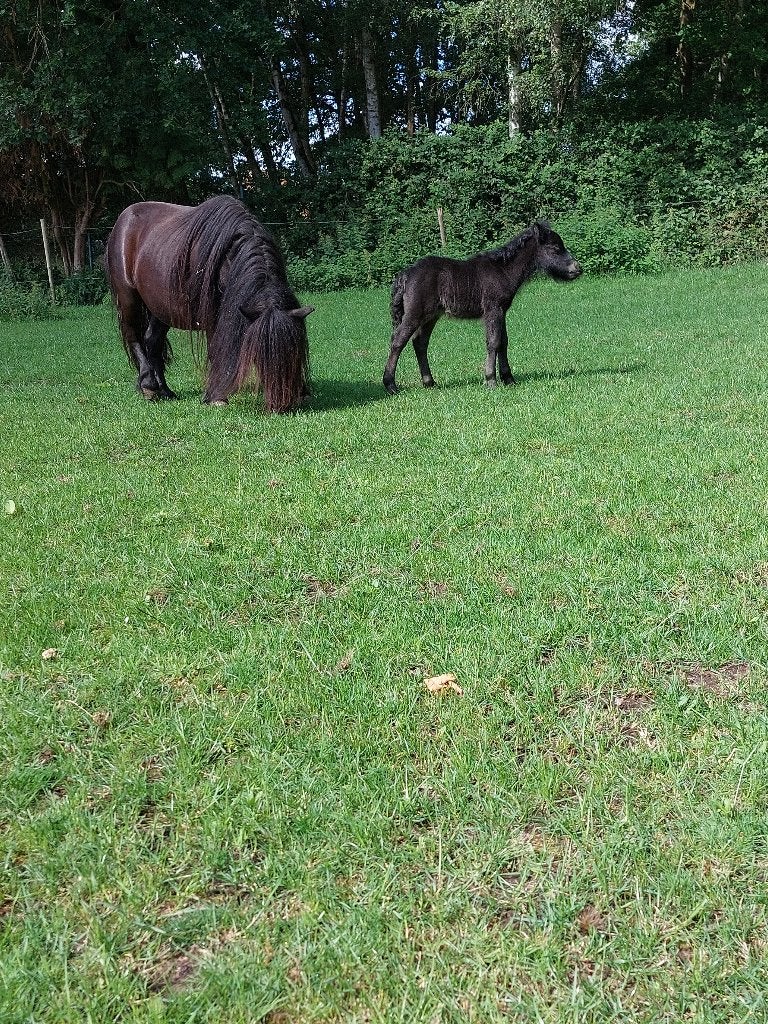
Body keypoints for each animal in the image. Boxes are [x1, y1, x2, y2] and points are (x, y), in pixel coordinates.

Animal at [105, 195, 313, 412]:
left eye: (295, 352)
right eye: (260, 354)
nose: (281, 405)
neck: (229, 255)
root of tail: (123, 220)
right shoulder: (213, 314)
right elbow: (215, 350)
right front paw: (217, 396)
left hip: (159, 307)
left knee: (152, 342)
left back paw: (165, 391)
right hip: (128, 298)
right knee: (134, 337)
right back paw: (148, 386)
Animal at [382, 221, 581, 394]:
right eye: (555, 248)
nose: (577, 269)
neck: (503, 270)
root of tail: (405, 275)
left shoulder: (502, 311)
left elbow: (503, 342)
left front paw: (509, 379)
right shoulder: (493, 310)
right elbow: (493, 342)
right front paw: (491, 380)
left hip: (431, 316)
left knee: (420, 342)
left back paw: (429, 382)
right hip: (415, 314)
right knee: (397, 341)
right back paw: (390, 385)